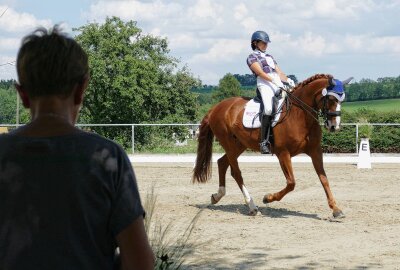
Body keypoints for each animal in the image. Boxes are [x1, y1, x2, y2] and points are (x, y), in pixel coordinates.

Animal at [192, 74, 352, 217]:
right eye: (331, 98)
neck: (300, 115)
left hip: (238, 145)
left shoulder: (315, 151)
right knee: (236, 173)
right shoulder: (283, 153)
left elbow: (324, 179)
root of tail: (216, 108)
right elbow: (291, 183)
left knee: (222, 162)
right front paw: (268, 198)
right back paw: (252, 206)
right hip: (229, 144)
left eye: (342, 100)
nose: (334, 126)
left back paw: (217, 196)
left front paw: (336, 209)